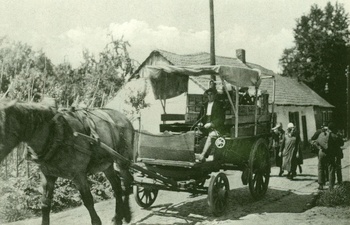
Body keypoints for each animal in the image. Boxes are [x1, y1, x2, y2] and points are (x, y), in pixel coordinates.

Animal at [0, 100, 134, 225]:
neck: (56, 134)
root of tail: (125, 118)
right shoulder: (48, 176)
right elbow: (45, 204)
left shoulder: (79, 175)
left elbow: (88, 200)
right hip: (107, 164)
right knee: (117, 186)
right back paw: (118, 217)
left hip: (122, 161)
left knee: (127, 181)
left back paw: (127, 215)